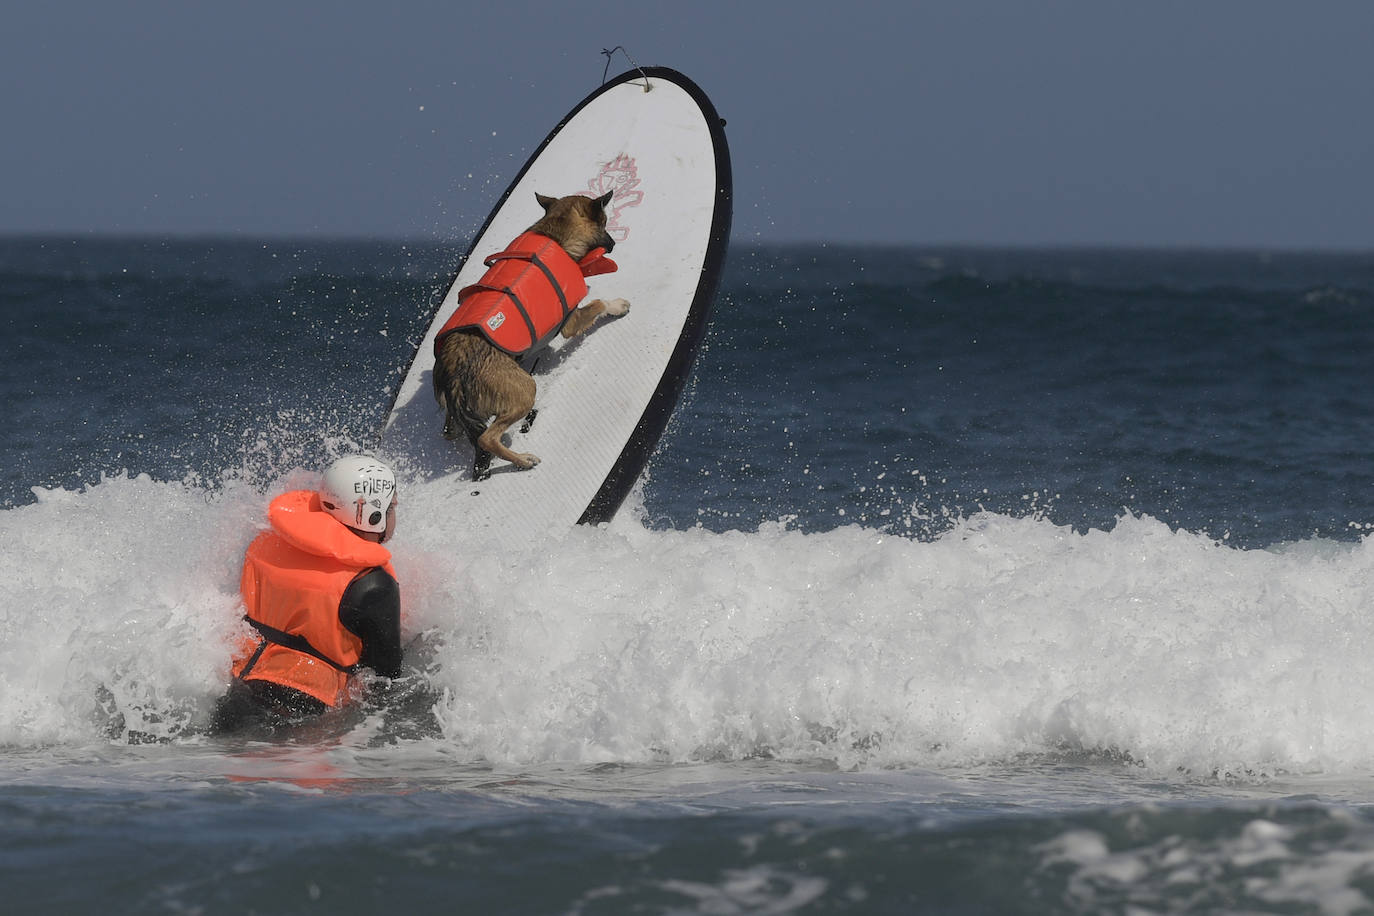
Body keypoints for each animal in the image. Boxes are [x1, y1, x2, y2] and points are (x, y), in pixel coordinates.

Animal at [431, 190, 629, 483]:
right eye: (604, 223)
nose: (614, 243)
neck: (555, 237)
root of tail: (455, 372)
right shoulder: (570, 322)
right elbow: (598, 304)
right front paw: (616, 305)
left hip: (456, 410)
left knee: (454, 432)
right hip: (525, 389)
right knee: (487, 438)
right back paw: (523, 460)